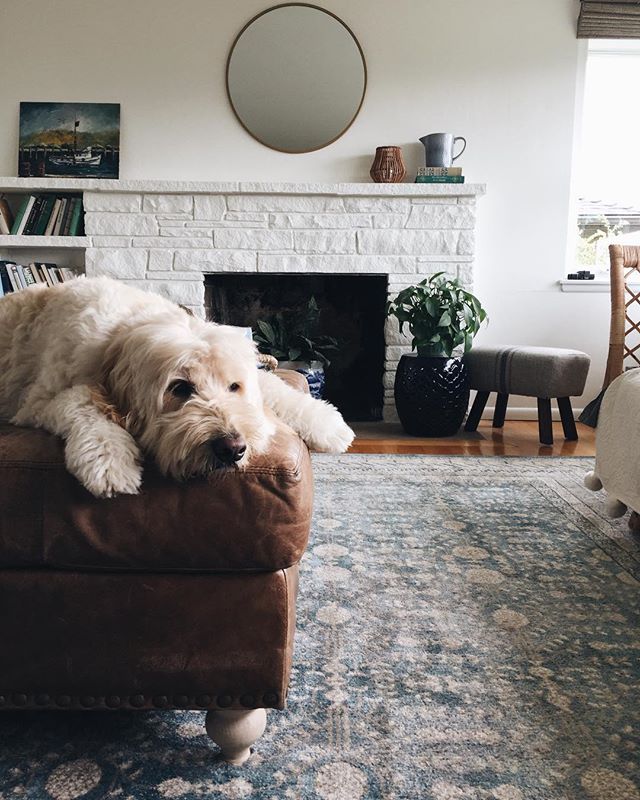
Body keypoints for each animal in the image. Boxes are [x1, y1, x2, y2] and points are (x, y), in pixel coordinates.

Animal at [0, 278, 356, 496]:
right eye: (180, 388)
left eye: (234, 387)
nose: (233, 448)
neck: (117, 339)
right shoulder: (38, 402)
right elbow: (82, 405)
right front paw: (109, 462)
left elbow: (275, 387)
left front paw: (328, 424)